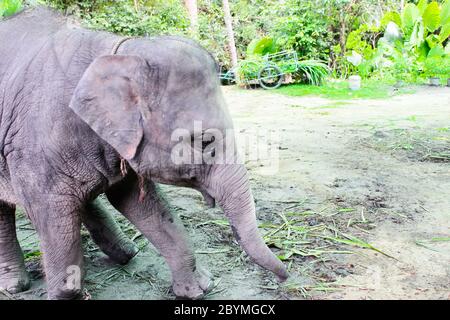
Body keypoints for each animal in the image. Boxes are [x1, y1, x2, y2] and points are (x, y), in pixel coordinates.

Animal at [0, 6, 288, 298]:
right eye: (205, 141)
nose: (284, 276)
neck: (116, 54)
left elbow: (142, 205)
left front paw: (197, 289)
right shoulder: (32, 150)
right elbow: (53, 216)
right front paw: (64, 293)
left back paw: (126, 251)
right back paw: (14, 285)